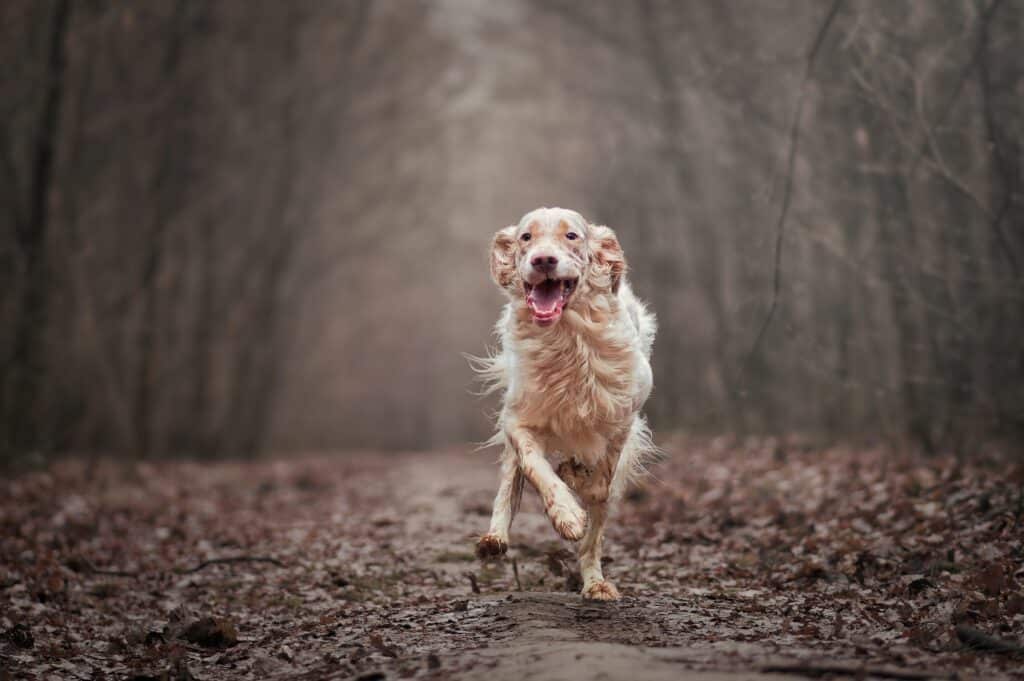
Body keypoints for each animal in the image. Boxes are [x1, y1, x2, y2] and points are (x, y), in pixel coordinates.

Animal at [471, 204, 655, 598]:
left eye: (572, 236)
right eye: (526, 237)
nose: (543, 260)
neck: (566, 338)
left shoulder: (623, 418)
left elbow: (600, 485)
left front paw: (579, 483)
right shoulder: (518, 418)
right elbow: (533, 466)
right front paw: (567, 514)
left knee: (596, 530)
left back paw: (595, 583)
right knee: (511, 476)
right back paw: (495, 537)